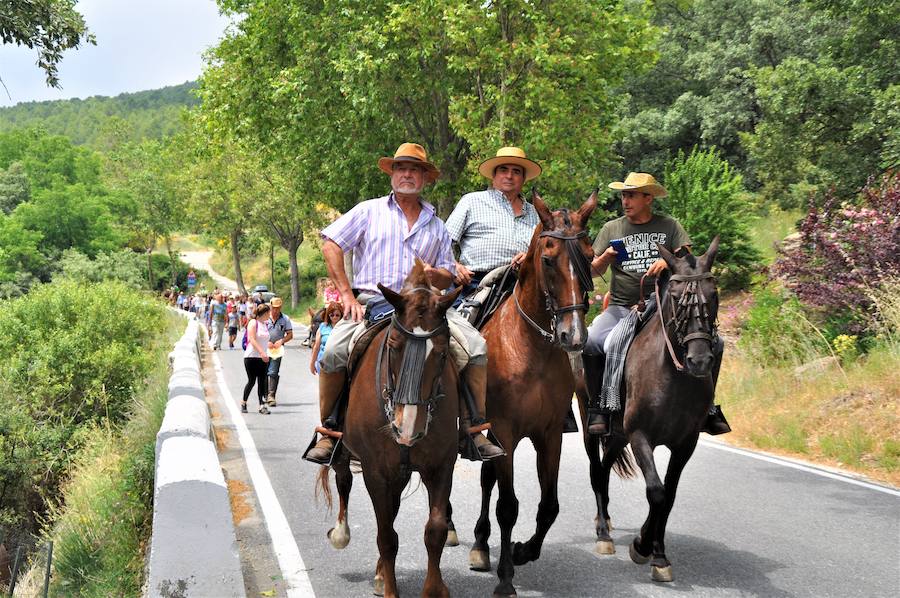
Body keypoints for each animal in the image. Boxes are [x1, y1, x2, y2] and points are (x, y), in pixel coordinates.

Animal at [316, 264, 464, 598]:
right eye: (394, 346)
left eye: (442, 353)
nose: (406, 428)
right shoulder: (376, 471)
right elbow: (386, 536)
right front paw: (390, 588)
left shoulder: (441, 466)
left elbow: (435, 530)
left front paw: (433, 589)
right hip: (348, 452)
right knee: (343, 481)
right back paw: (343, 535)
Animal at [458, 191, 596, 598]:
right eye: (548, 259)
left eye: (589, 253)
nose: (573, 335)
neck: (531, 347)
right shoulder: (504, 431)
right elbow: (508, 506)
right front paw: (506, 577)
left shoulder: (548, 435)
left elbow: (549, 505)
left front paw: (522, 552)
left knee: (487, 479)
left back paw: (480, 544)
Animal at [576, 237, 724, 584]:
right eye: (676, 297)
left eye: (713, 294)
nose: (700, 361)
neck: (673, 374)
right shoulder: (641, 436)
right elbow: (656, 492)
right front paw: (643, 547)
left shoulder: (685, 444)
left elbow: (668, 496)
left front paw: (658, 553)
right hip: (593, 425)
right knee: (595, 470)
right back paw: (603, 533)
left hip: (619, 435)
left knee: (605, 468)